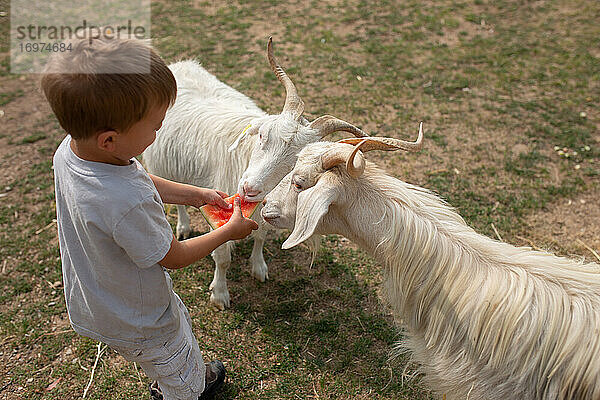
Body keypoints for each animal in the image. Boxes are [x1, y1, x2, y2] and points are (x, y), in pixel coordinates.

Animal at [143, 38, 368, 310]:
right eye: (262, 135)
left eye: (297, 161)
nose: (249, 189)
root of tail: (182, 65)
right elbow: (222, 257)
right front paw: (220, 294)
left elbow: (260, 236)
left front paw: (258, 267)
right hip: (161, 165)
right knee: (177, 199)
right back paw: (184, 227)